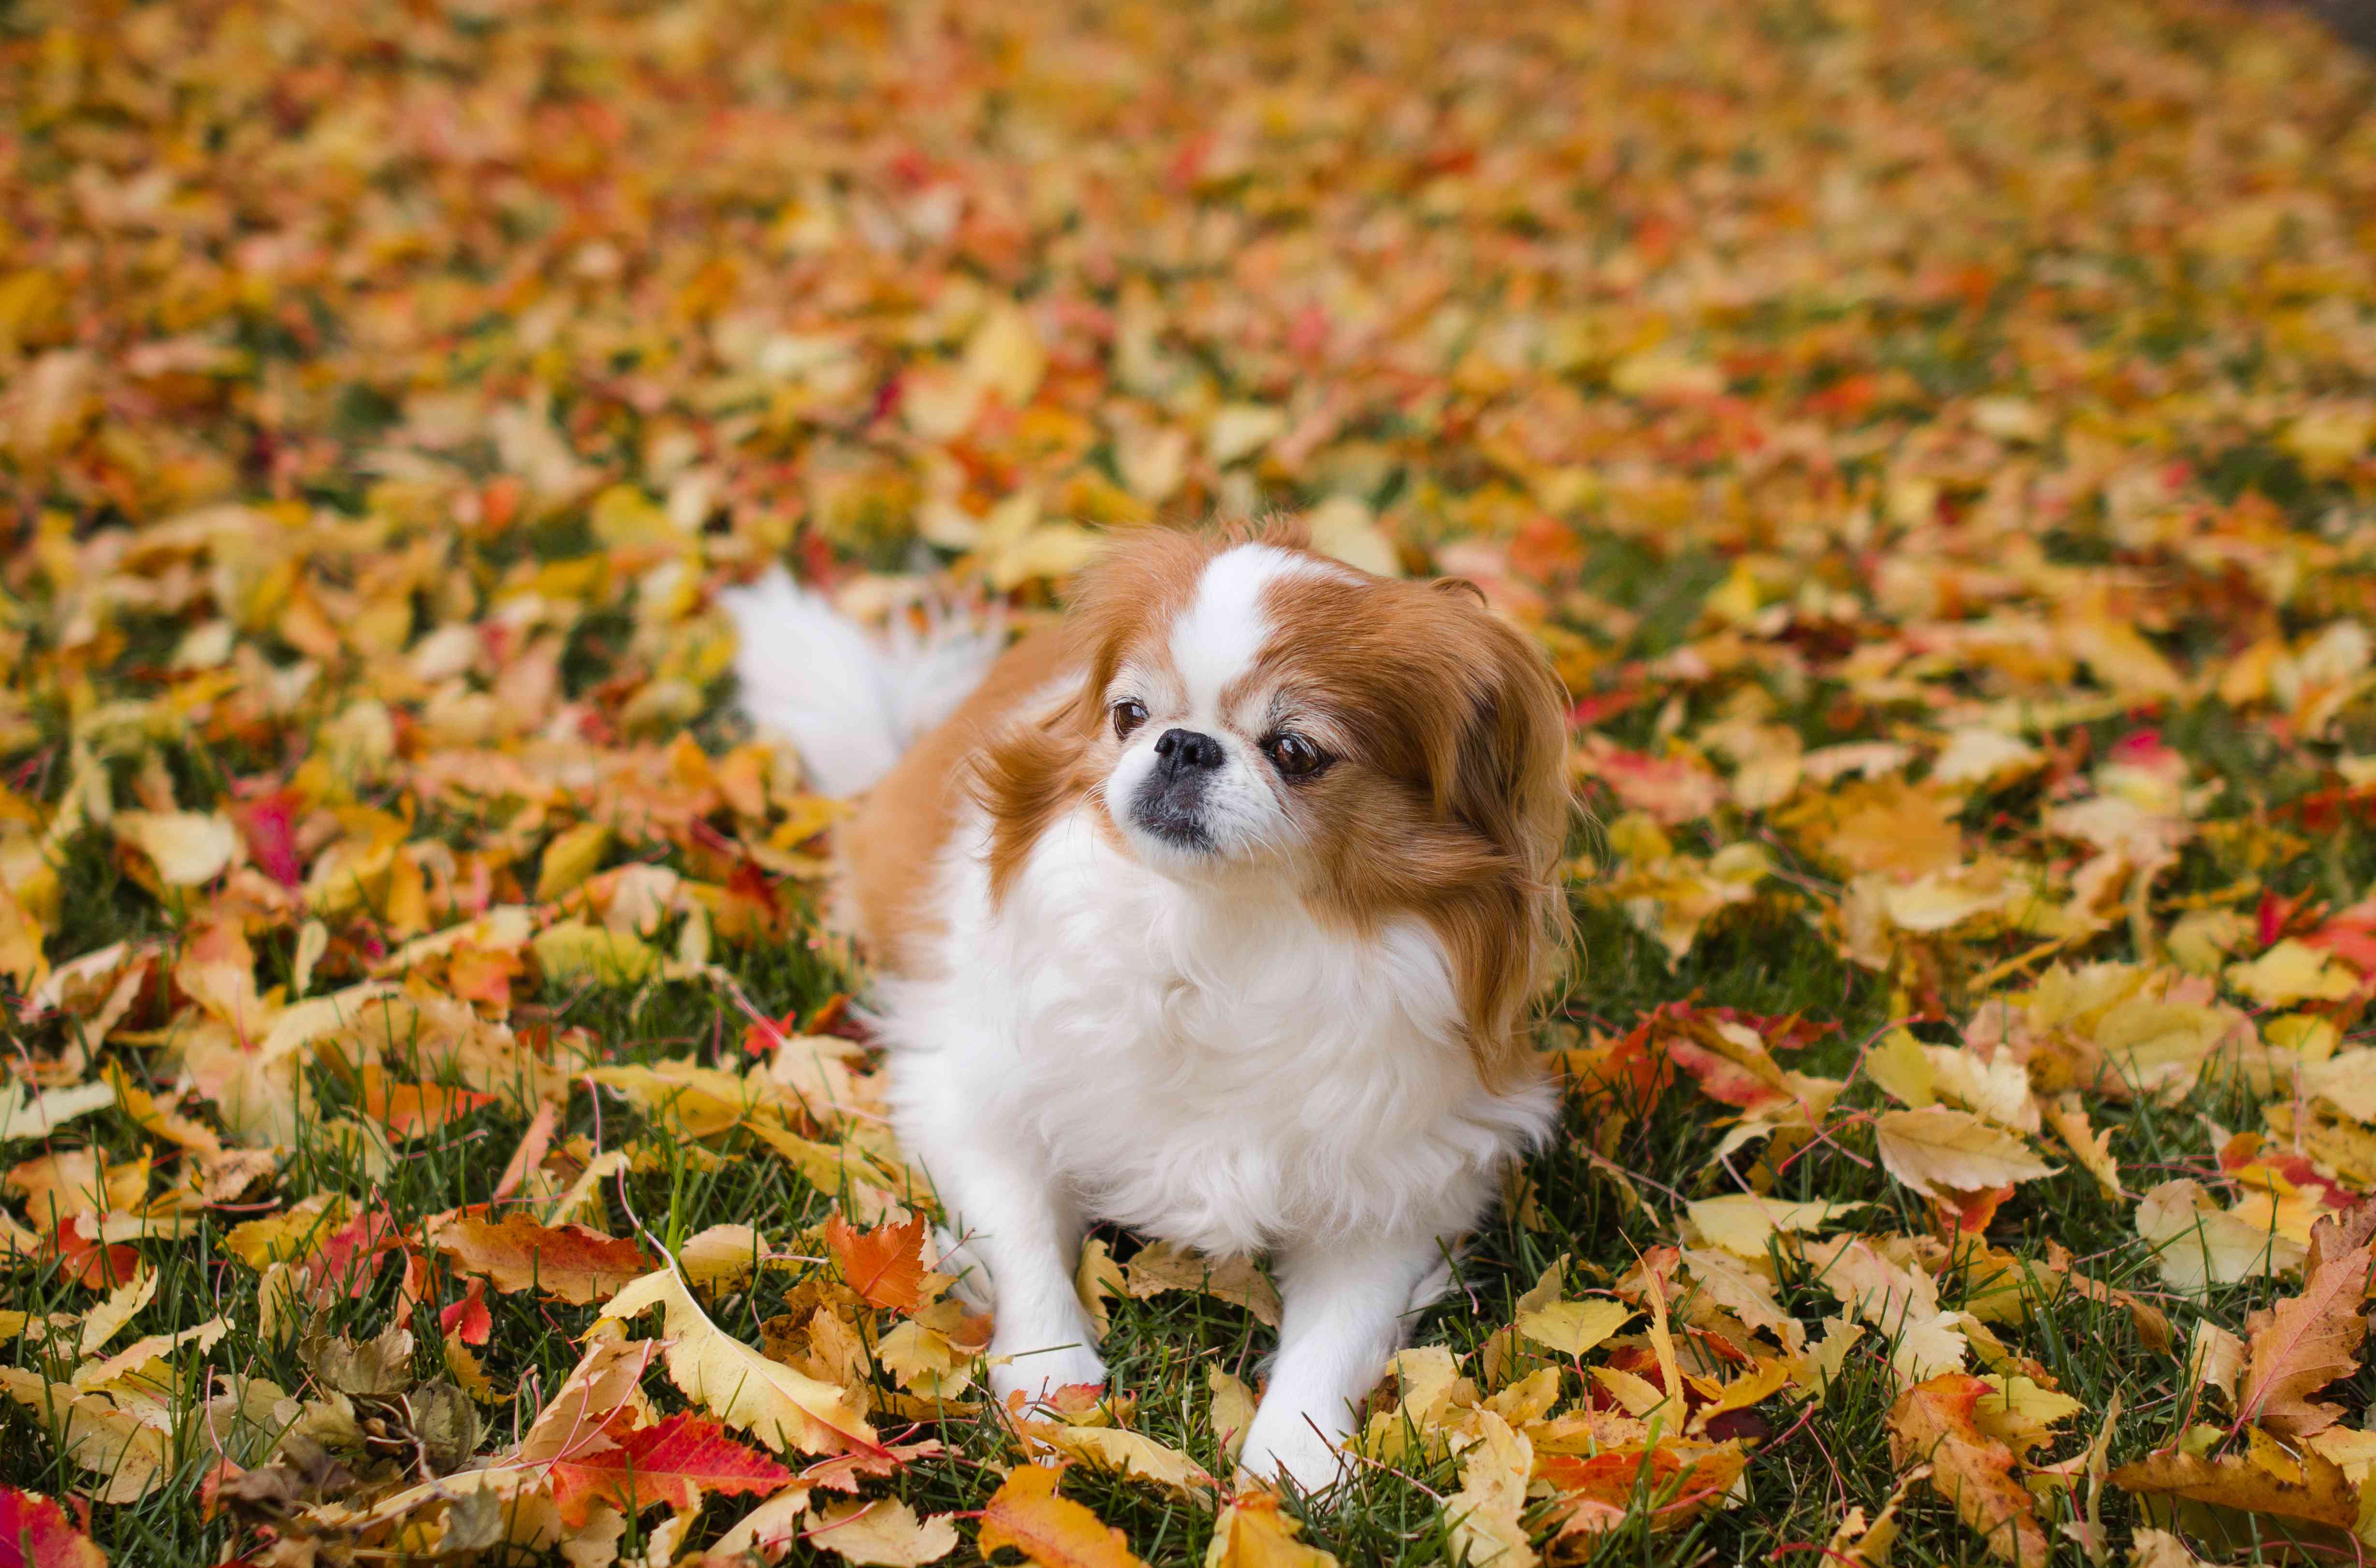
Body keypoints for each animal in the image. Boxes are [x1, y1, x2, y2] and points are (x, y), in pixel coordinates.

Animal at [722, 520, 1577, 1492]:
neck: (1220, 935)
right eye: (1129, 714)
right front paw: (1051, 1383)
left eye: (1296, 752)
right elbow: (1022, 1241)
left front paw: (1298, 1466)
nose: (1183, 744)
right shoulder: (971, 1101)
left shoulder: (1398, 1190)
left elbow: (1334, 1339)